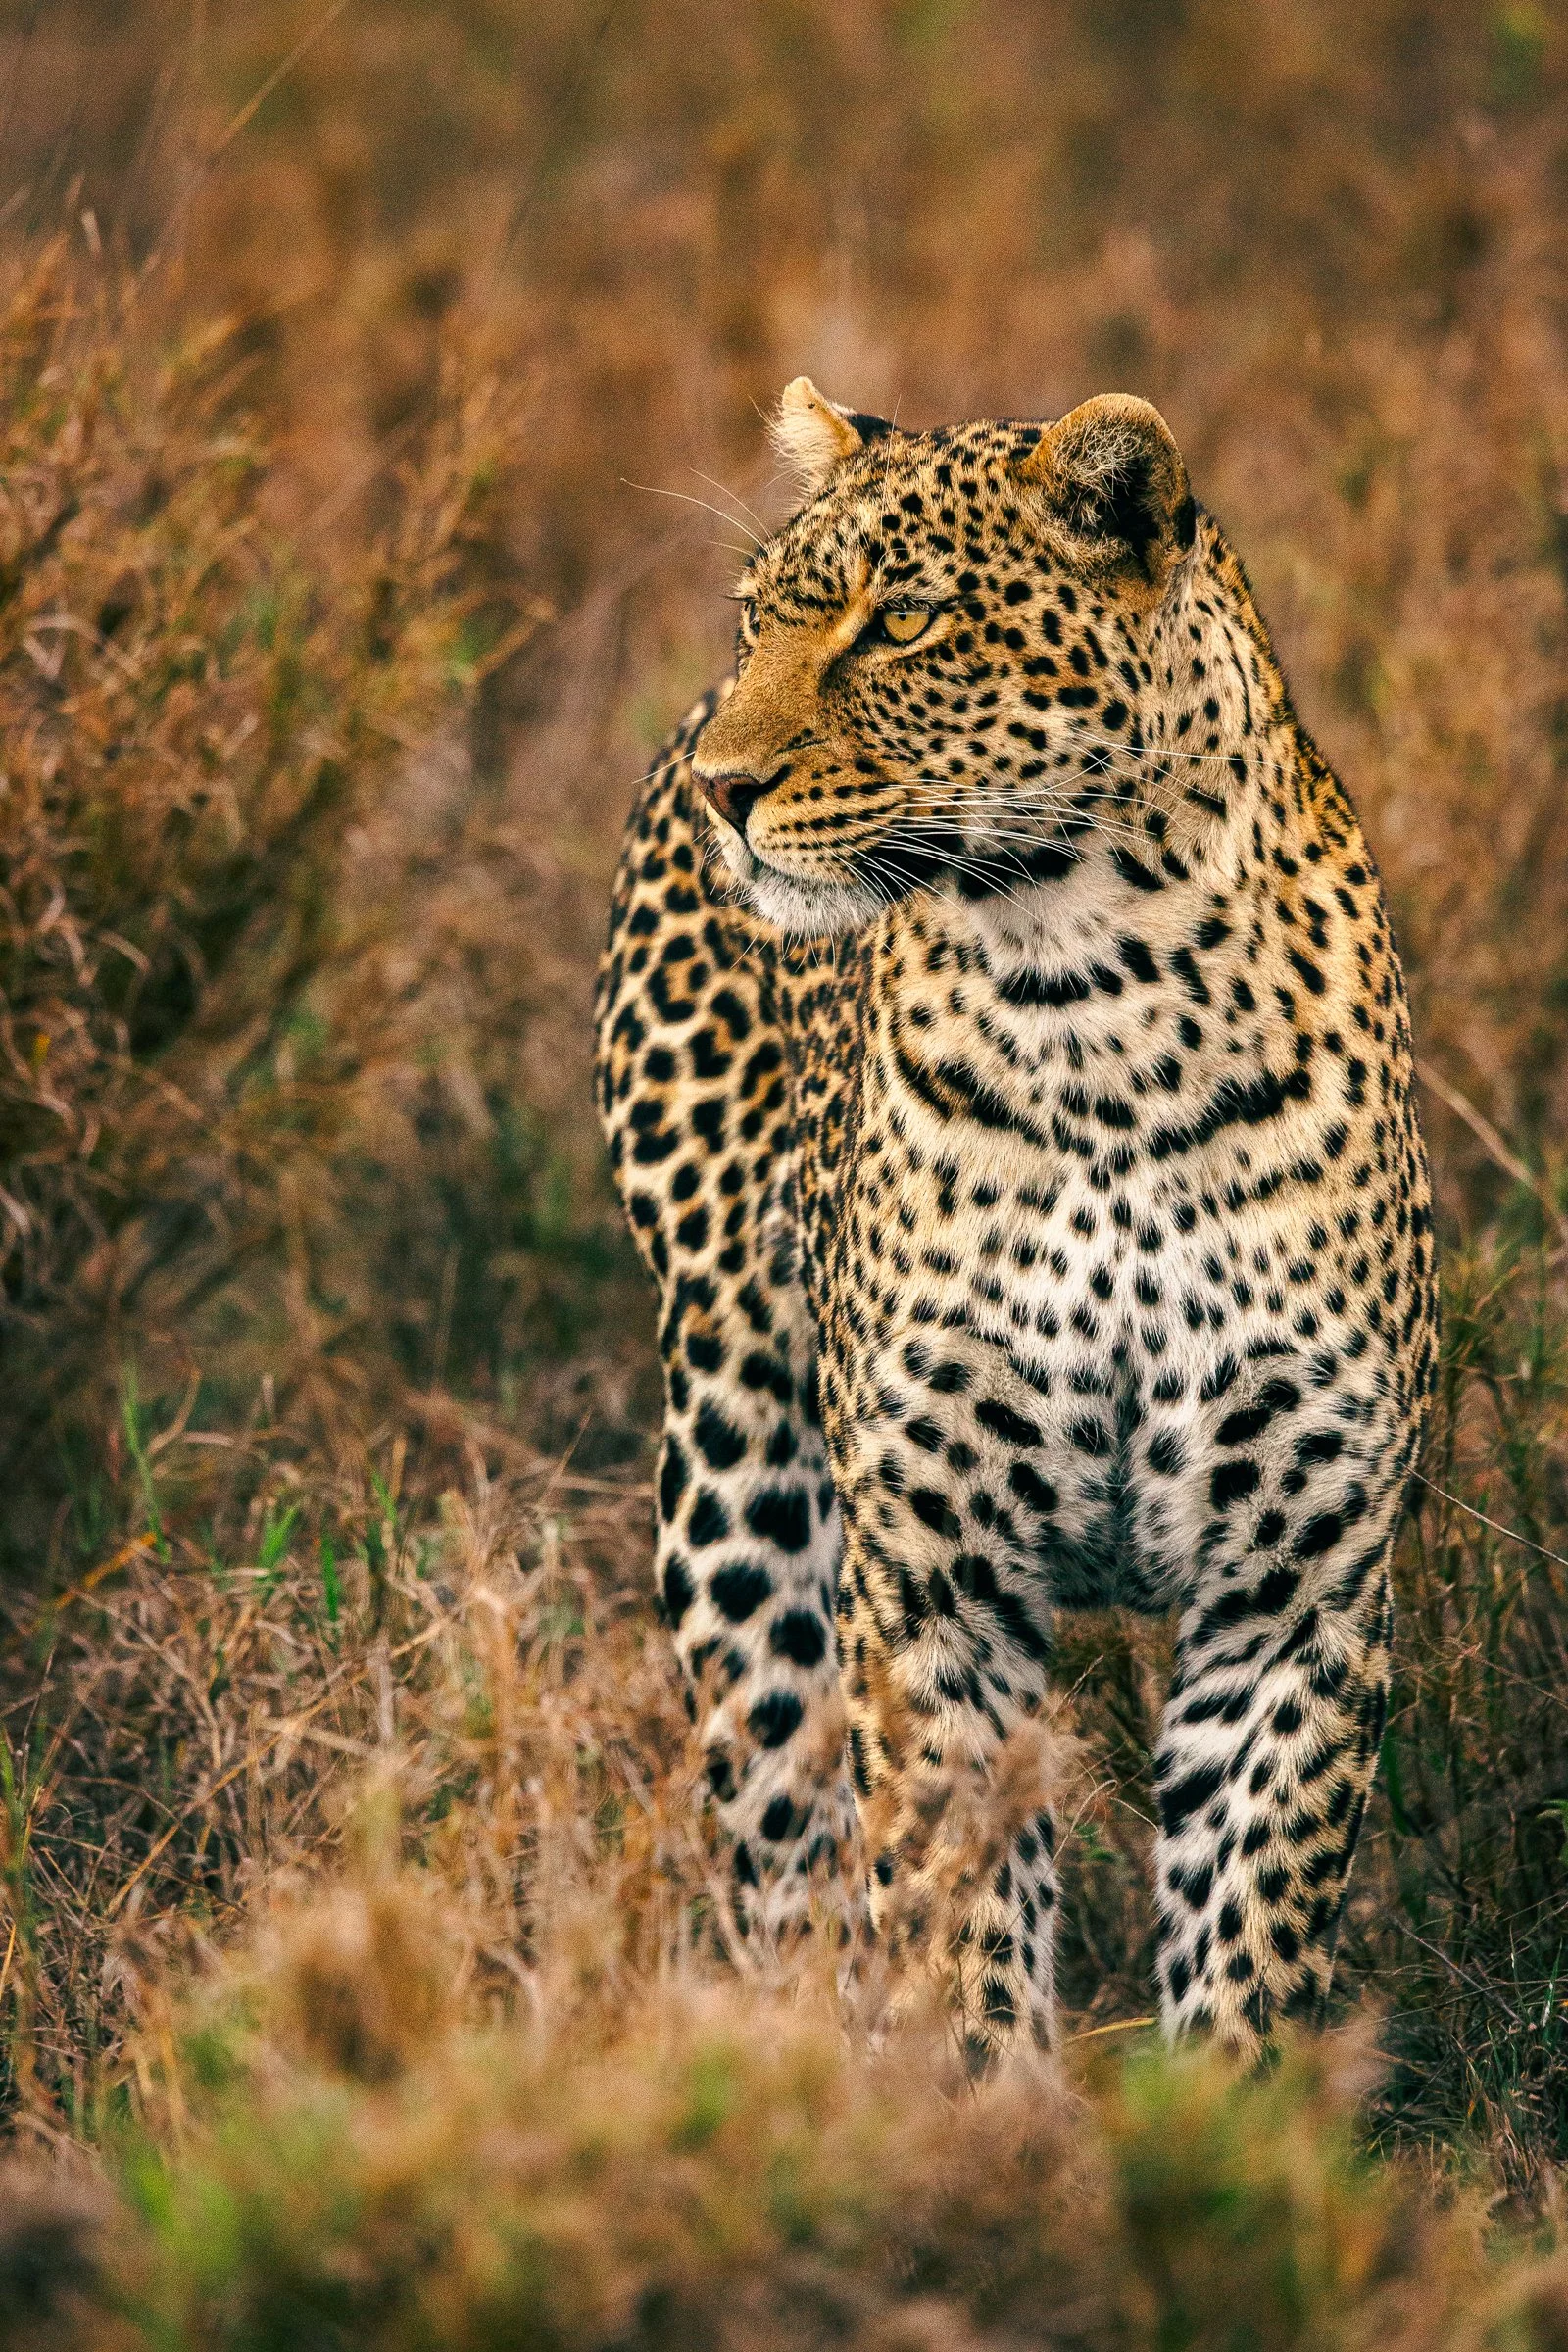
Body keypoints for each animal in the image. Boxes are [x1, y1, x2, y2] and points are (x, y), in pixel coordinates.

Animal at [595, 377, 1437, 2063]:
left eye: (904, 620)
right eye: (761, 618)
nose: (727, 790)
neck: (1098, 1009)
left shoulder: (1297, 1593)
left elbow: (1250, 1941)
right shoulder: (935, 1584)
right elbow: (953, 1917)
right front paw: (981, 2115)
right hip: (734, 1455)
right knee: (785, 1837)